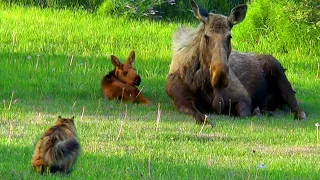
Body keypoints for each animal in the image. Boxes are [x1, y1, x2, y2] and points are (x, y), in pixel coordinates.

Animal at [165, 0, 304, 124]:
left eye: (229, 37)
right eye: (206, 36)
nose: (220, 76)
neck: (202, 83)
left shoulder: (242, 97)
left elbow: (244, 114)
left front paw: (254, 113)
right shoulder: (181, 100)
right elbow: (199, 116)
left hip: (279, 72)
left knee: (298, 109)